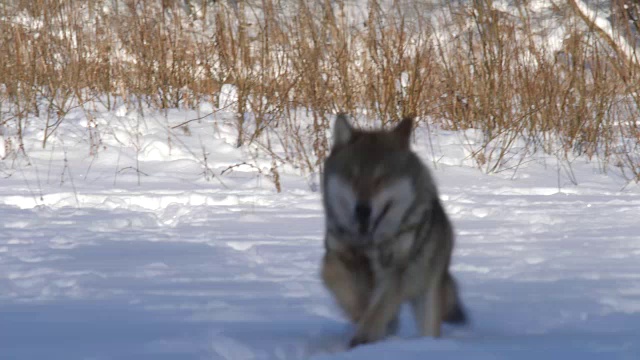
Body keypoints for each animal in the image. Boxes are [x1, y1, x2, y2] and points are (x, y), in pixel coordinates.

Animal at [320, 114, 464, 348]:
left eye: (381, 179)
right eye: (352, 177)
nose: (362, 210)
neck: (368, 244)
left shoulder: (396, 272)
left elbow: (377, 311)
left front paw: (363, 338)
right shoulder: (336, 253)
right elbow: (331, 272)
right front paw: (359, 312)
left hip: (427, 295)